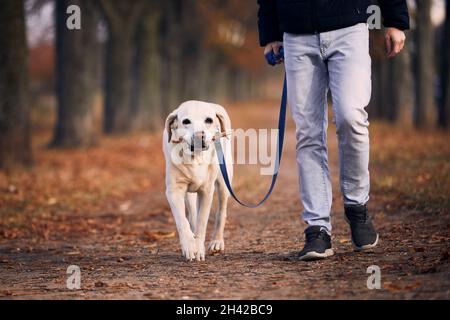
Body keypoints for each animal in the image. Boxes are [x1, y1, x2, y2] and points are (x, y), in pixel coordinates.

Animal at [163, 101, 232, 262]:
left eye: (209, 120)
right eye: (186, 121)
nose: (199, 136)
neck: (195, 157)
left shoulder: (206, 191)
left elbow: (202, 223)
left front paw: (199, 248)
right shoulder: (173, 191)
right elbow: (182, 221)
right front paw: (189, 246)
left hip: (223, 183)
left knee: (221, 212)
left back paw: (217, 241)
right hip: (189, 194)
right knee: (192, 215)